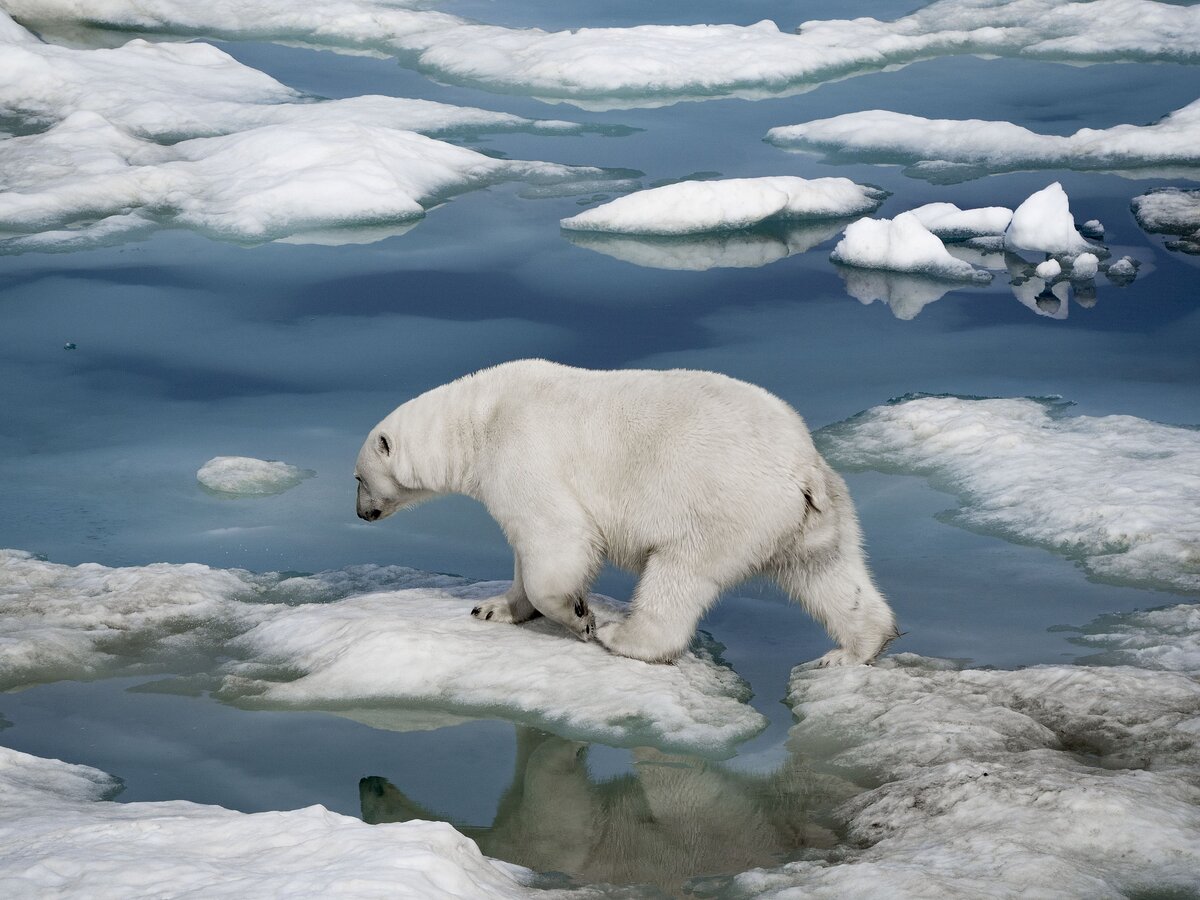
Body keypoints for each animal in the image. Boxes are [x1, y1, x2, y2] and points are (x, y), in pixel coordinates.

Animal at [355, 362, 902, 667]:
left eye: (358, 478)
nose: (360, 514)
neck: (480, 416)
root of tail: (802, 467)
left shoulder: (523, 452)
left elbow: (558, 537)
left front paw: (580, 616)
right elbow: (527, 551)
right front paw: (492, 608)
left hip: (724, 505)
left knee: (680, 573)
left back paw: (625, 637)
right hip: (816, 515)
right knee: (826, 573)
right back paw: (853, 649)